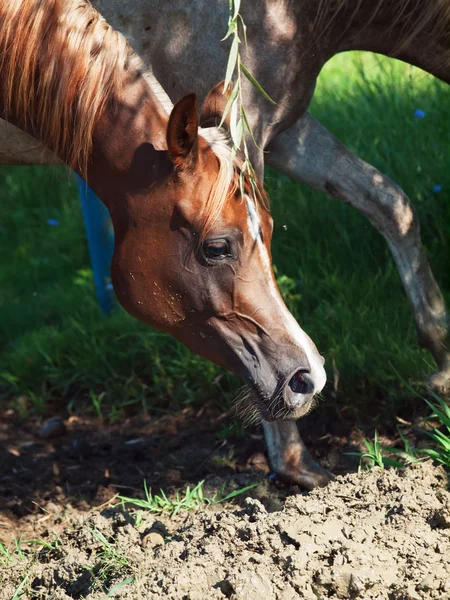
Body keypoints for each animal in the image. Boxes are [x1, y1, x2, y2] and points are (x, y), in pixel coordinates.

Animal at [1, 1, 448, 488]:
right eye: (217, 247)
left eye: (268, 230)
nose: (309, 378)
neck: (299, 16)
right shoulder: (249, 122)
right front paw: (295, 464)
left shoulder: (287, 131)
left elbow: (390, 203)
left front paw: (442, 362)